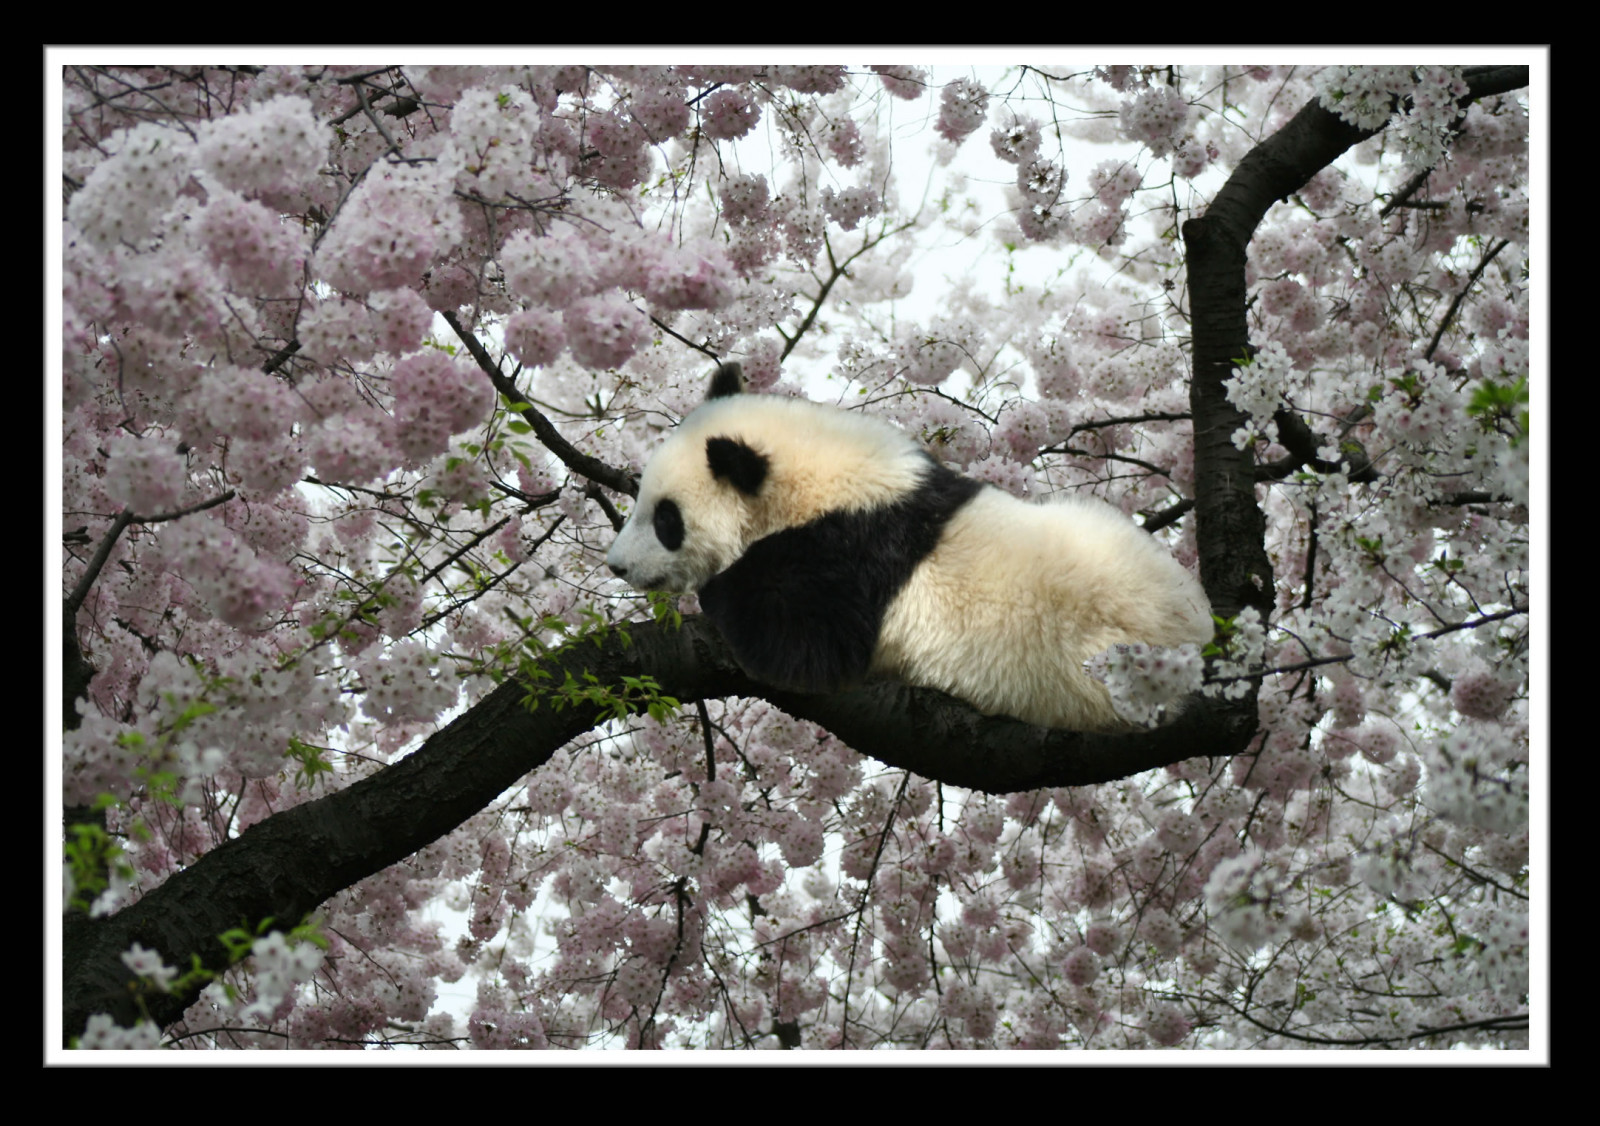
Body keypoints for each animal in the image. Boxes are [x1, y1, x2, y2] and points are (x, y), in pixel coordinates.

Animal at [605, 363, 1213, 731]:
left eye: (667, 520)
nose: (617, 565)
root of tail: (1200, 637)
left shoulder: (846, 560)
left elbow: (804, 650)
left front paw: (716, 588)